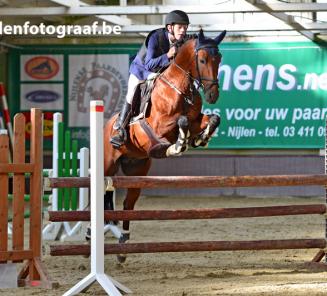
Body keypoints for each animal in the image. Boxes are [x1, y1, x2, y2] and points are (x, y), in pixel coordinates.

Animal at [104, 28, 227, 262]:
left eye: (220, 59)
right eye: (202, 59)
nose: (212, 95)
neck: (181, 88)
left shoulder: (196, 118)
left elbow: (212, 119)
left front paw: (199, 139)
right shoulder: (159, 126)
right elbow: (182, 121)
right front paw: (178, 145)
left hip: (138, 169)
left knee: (127, 205)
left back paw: (123, 246)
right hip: (108, 165)